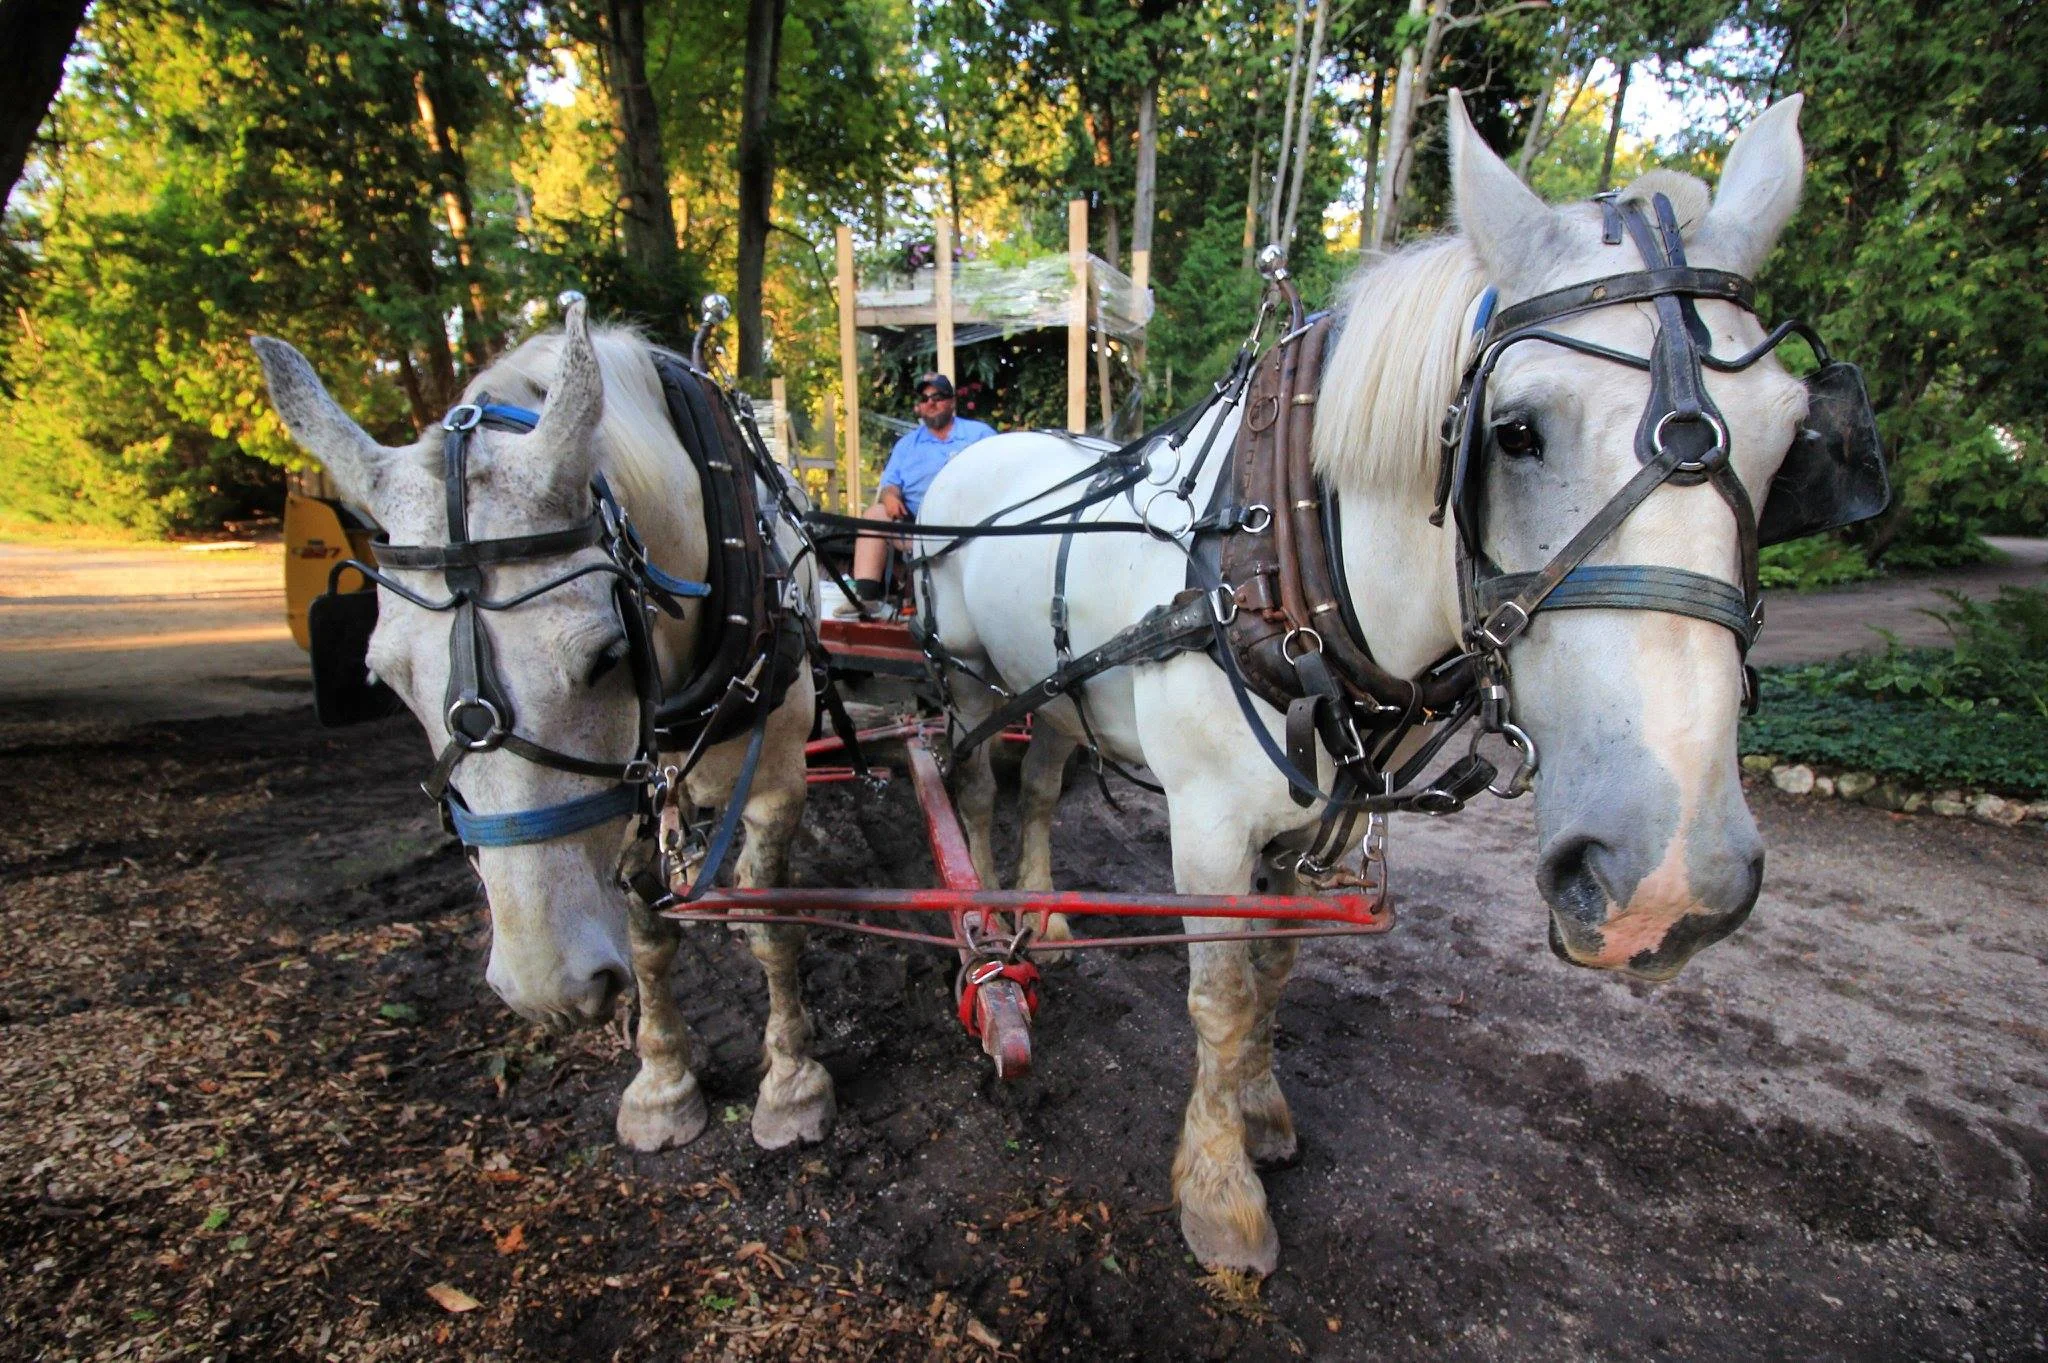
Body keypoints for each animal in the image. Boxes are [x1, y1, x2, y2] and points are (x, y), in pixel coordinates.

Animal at [250, 301, 836, 1154]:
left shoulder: (775, 779)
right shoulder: (631, 787)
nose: (546, 989)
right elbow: (649, 938)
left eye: (606, 656)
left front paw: (792, 1081)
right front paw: (663, 1083)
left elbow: (772, 923)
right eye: (384, 679)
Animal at [919, 92, 1819, 1273]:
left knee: (1035, 787)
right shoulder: (1209, 824)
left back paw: (1047, 916)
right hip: (974, 683)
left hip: (1062, 691)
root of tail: (967, 453)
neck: (1277, 555)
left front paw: (1259, 1109)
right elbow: (1218, 995)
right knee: (976, 787)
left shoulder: (1321, 823)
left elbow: (1275, 976)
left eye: (1790, 440)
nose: (1667, 883)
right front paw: (1219, 1189)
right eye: (1513, 432)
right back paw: (987, 915)